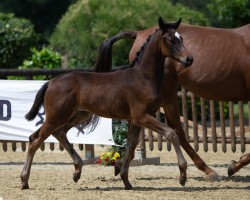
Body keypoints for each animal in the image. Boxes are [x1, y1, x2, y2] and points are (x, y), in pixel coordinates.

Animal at [21, 16, 193, 189]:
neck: (143, 78)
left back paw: (77, 171)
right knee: (35, 140)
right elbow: (171, 134)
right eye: (170, 40)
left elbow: (130, 146)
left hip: (78, 115)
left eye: (181, 38)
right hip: (56, 117)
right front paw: (183, 176)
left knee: (58, 133)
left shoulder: (136, 120)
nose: (189, 59)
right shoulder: (141, 117)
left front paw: (126, 181)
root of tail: (51, 82)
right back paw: (24, 180)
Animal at [94, 21, 250, 178]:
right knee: (177, 129)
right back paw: (207, 170)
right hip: (167, 92)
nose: (189, 59)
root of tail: (139, 33)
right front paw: (234, 166)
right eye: (170, 40)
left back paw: (121, 163)